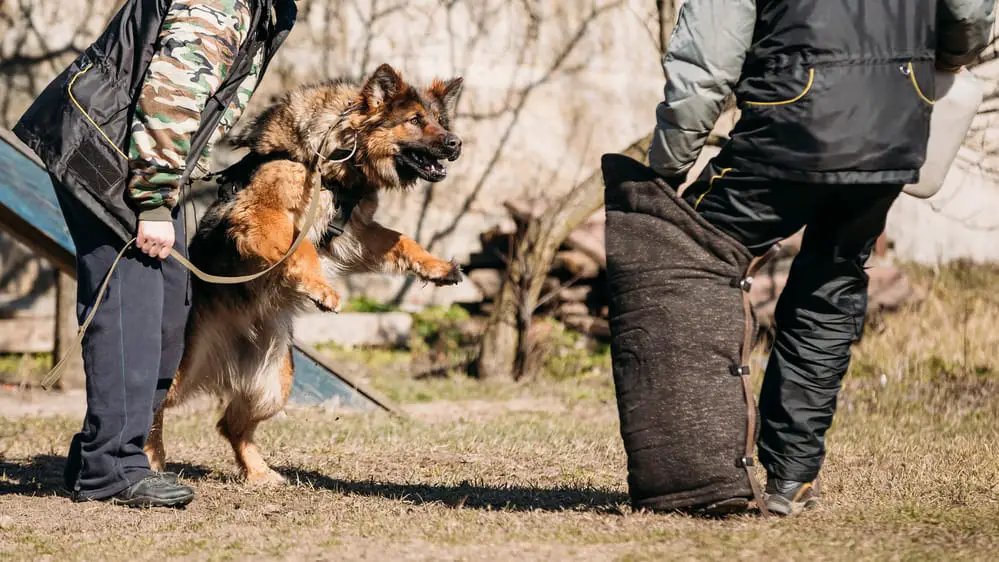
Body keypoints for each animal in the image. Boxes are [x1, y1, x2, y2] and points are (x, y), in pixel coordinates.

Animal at [146, 62, 466, 482]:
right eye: (414, 120)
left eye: (440, 122)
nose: (456, 144)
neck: (336, 155)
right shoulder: (260, 212)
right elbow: (304, 247)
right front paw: (321, 289)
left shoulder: (356, 233)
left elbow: (402, 239)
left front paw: (437, 267)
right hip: (181, 370)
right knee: (152, 408)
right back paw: (151, 459)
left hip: (275, 384)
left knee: (230, 425)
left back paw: (260, 473)